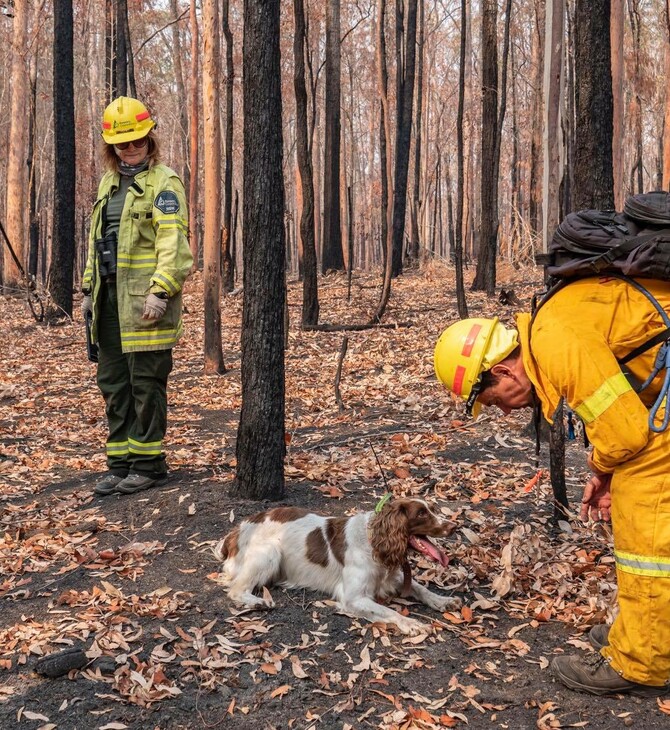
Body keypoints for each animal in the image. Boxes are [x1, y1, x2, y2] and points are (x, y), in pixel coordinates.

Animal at [215, 498, 462, 636]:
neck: (373, 541)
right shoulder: (353, 598)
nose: (454, 526)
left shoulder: (392, 575)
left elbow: (421, 588)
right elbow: (389, 611)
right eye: (421, 513)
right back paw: (258, 602)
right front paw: (412, 623)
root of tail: (236, 530)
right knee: (236, 589)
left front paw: (443, 600)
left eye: (432, 508)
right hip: (270, 552)